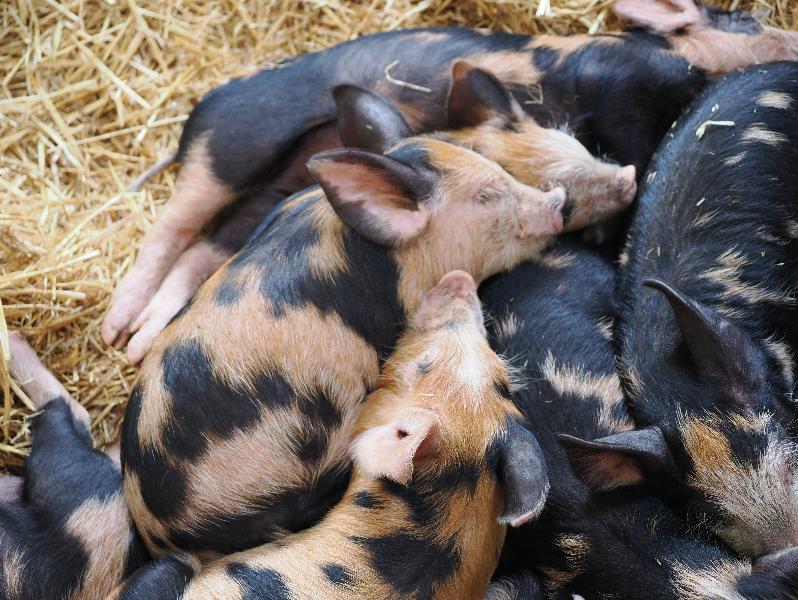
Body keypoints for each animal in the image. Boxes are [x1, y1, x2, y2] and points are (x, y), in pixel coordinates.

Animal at [104, 62, 635, 365]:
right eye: (552, 187)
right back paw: (122, 337)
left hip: (249, 199)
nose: (630, 173)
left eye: (572, 141)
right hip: (221, 157)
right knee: (172, 228)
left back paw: (132, 340)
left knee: (198, 248)